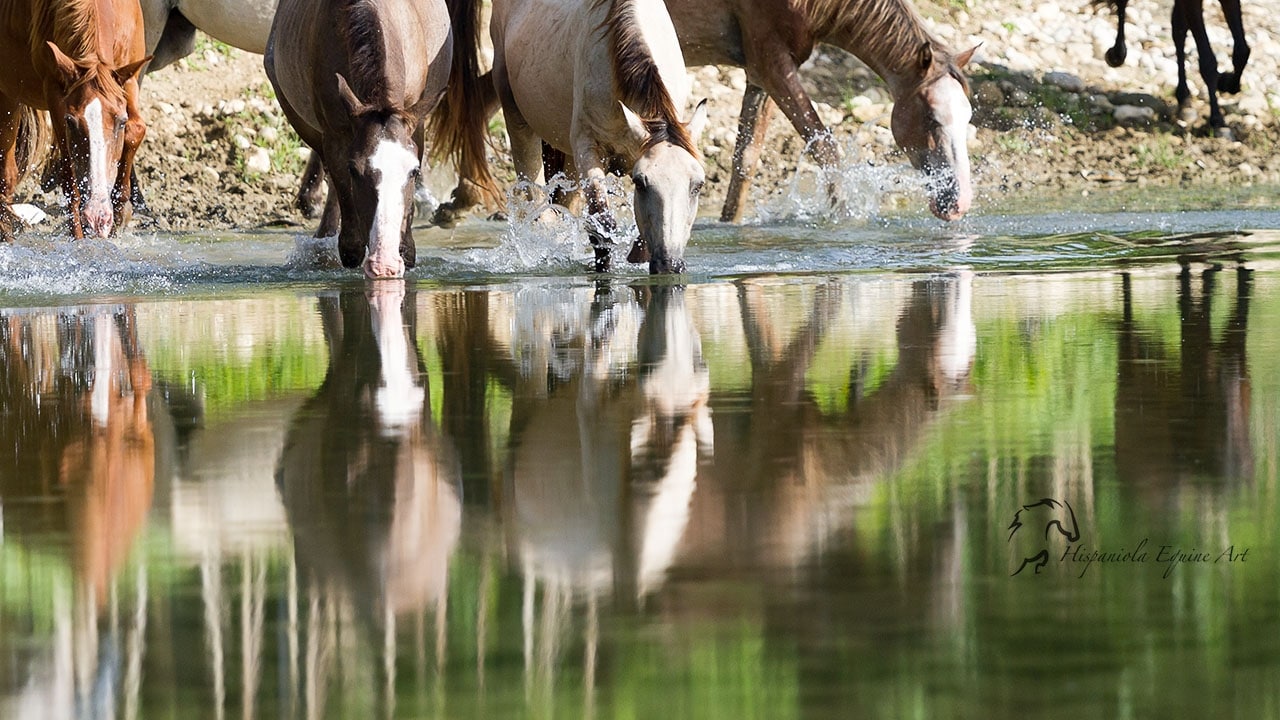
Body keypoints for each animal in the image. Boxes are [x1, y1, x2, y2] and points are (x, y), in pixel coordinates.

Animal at [0, 0, 151, 241]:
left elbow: (136, 129)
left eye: (120, 121)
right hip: (8, 94)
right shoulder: (54, 92)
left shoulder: (128, 78)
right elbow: (70, 178)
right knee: (8, 174)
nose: (99, 217)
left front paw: (119, 214)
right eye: (71, 122)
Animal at [264, 0, 488, 277]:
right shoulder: (335, 136)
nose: (385, 263)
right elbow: (346, 214)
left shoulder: (415, 124)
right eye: (354, 169)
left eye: (414, 171)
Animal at [484, 0, 709, 273]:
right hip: (517, 119)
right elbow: (602, 226)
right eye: (641, 182)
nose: (670, 264)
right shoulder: (588, 148)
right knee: (538, 204)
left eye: (698, 185)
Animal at [1096, 0, 1249, 132]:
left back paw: (1183, 96)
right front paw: (1216, 117)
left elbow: (1242, 52)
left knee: (1178, 27)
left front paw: (1226, 83)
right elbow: (1208, 60)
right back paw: (1116, 54)